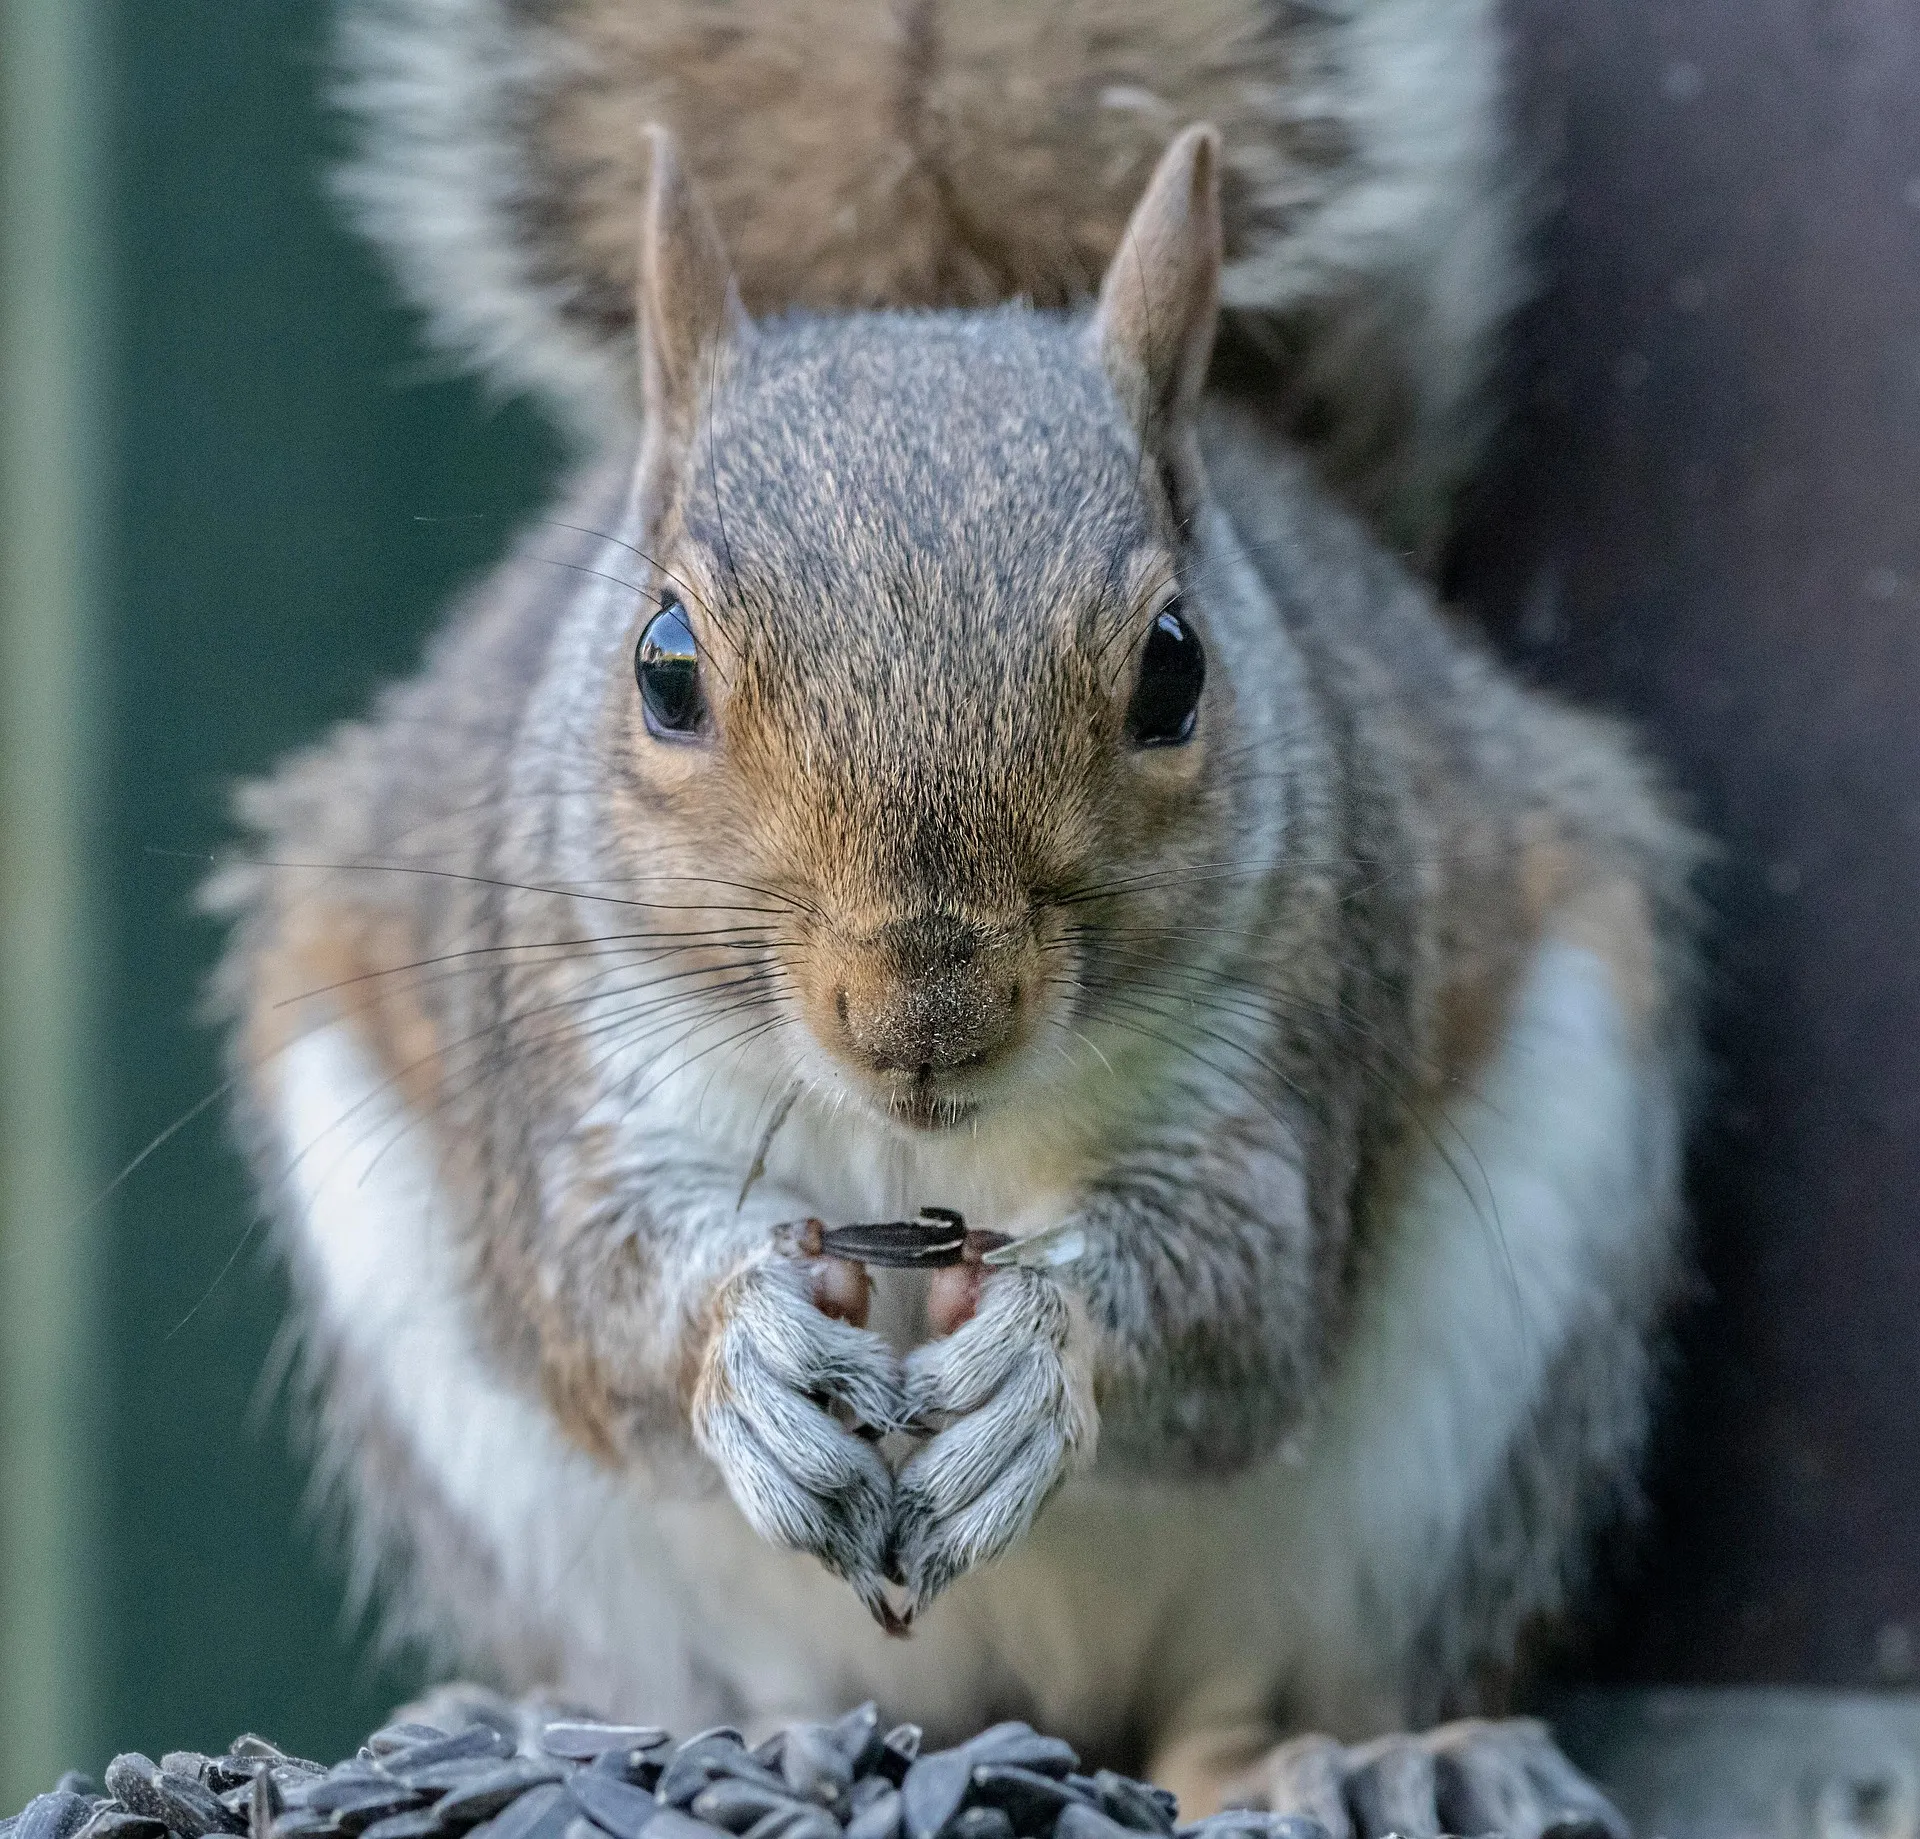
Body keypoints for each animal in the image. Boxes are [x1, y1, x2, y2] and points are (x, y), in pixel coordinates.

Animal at [209, 6, 1699, 1837]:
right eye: (663, 667)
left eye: (1177, 667)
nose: (922, 1008)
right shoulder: (568, 1047)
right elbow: (592, 1284)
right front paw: (743, 1341)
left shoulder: (1295, 1029)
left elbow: (1245, 1303)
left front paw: (1043, 1347)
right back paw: (700, 1737)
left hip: (1463, 1406)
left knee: (1250, 1688)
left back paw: (1345, 1754)